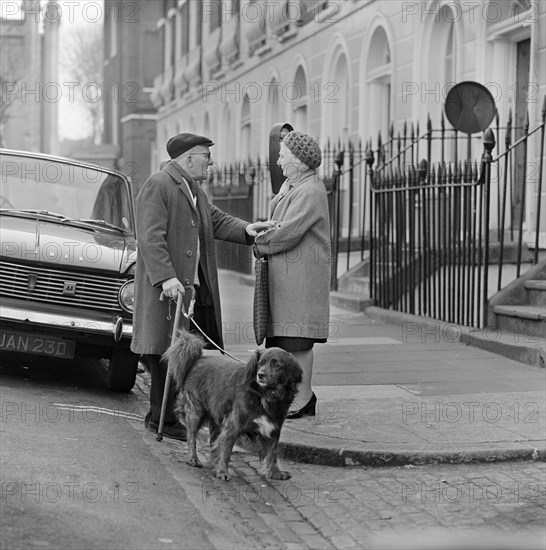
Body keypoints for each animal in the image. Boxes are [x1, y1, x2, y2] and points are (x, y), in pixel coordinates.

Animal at [164, 332, 304, 484]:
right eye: (260, 363)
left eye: (276, 364)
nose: (260, 375)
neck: (264, 394)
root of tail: (198, 359)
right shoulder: (233, 426)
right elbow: (226, 450)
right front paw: (222, 472)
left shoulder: (274, 427)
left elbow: (272, 453)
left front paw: (275, 473)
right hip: (196, 411)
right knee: (191, 436)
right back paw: (193, 459)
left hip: (217, 414)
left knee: (213, 440)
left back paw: (213, 462)